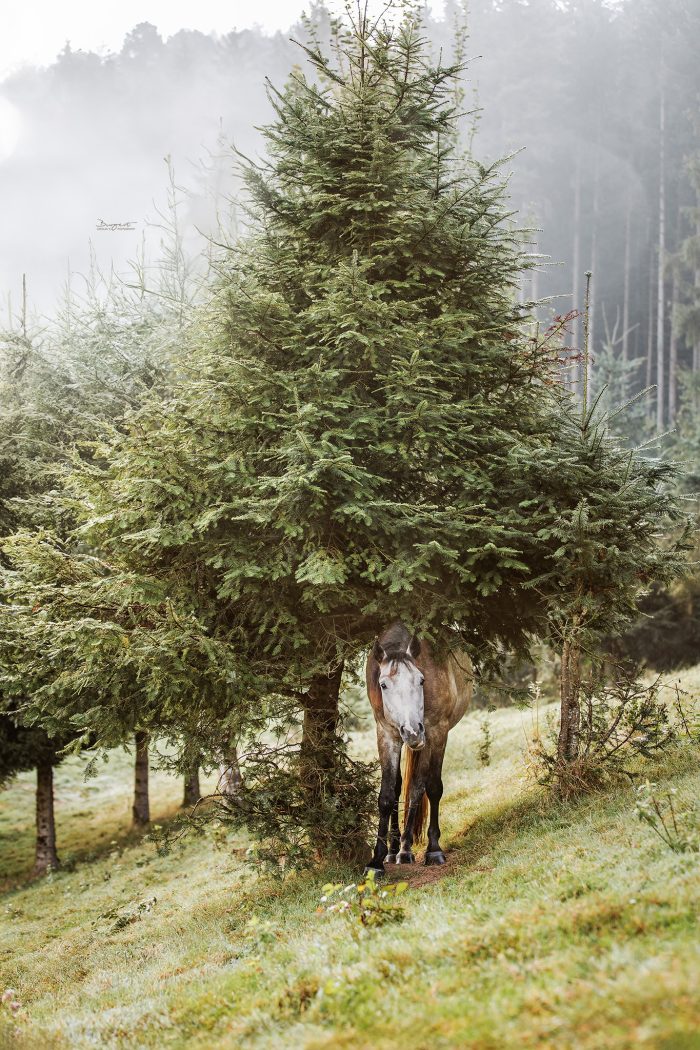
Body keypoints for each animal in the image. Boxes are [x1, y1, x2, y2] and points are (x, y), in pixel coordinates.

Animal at [365, 617, 474, 873]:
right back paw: (394, 849)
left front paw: (433, 849)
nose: (412, 731)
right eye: (383, 685)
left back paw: (405, 849)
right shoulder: (386, 735)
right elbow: (386, 796)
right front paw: (376, 861)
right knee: (399, 787)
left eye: (421, 680)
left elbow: (431, 787)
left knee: (418, 786)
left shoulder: (436, 732)